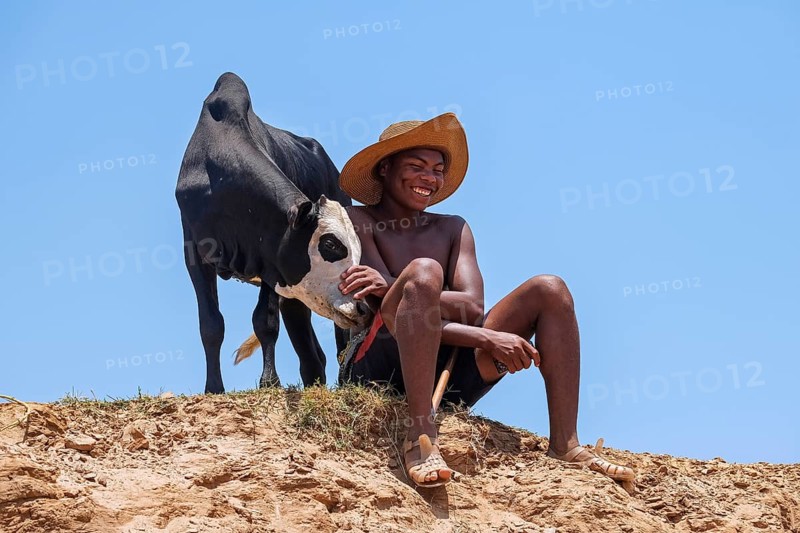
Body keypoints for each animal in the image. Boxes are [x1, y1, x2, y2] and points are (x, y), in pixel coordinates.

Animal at [176, 72, 369, 394]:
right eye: (330, 244)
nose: (364, 306)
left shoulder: (268, 260)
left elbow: (265, 322)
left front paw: (269, 382)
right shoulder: (194, 251)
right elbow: (211, 324)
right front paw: (213, 388)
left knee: (339, 344)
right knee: (312, 354)